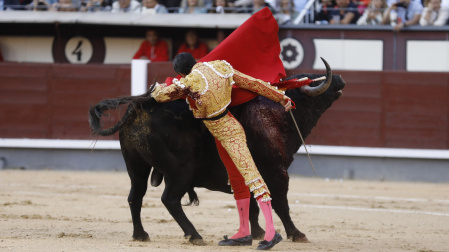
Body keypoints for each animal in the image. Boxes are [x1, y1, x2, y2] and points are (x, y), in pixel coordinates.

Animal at [89, 64, 344, 245]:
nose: (340, 78)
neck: (275, 114)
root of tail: (138, 105)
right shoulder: (277, 171)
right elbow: (280, 203)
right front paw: (296, 233)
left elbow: (252, 202)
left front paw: (257, 233)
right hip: (180, 171)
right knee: (170, 199)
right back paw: (194, 235)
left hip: (136, 167)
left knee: (135, 197)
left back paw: (140, 234)